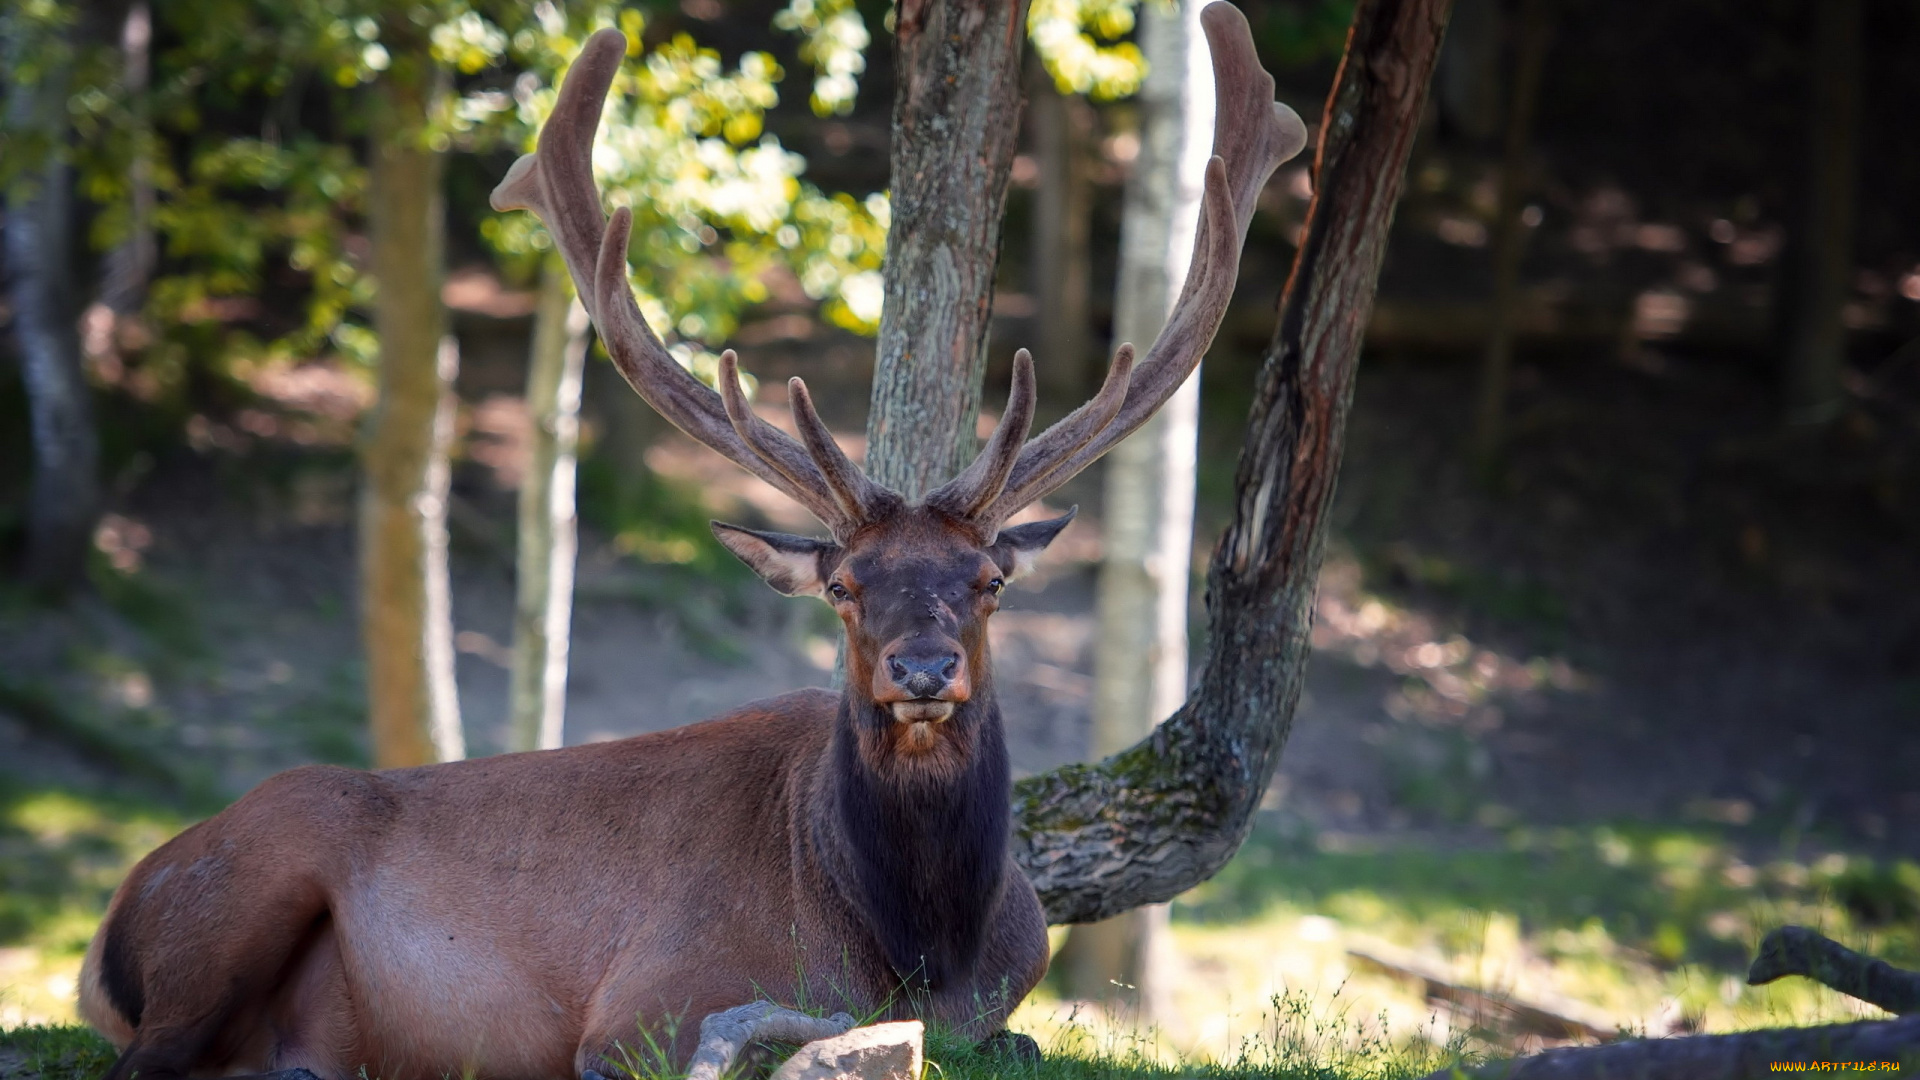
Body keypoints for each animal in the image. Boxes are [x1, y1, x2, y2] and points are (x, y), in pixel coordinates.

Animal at [74, 8, 1305, 1076]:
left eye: (989, 577)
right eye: (845, 584)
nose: (922, 669)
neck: (920, 946)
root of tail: (111, 921)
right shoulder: (644, 1007)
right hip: (246, 885)